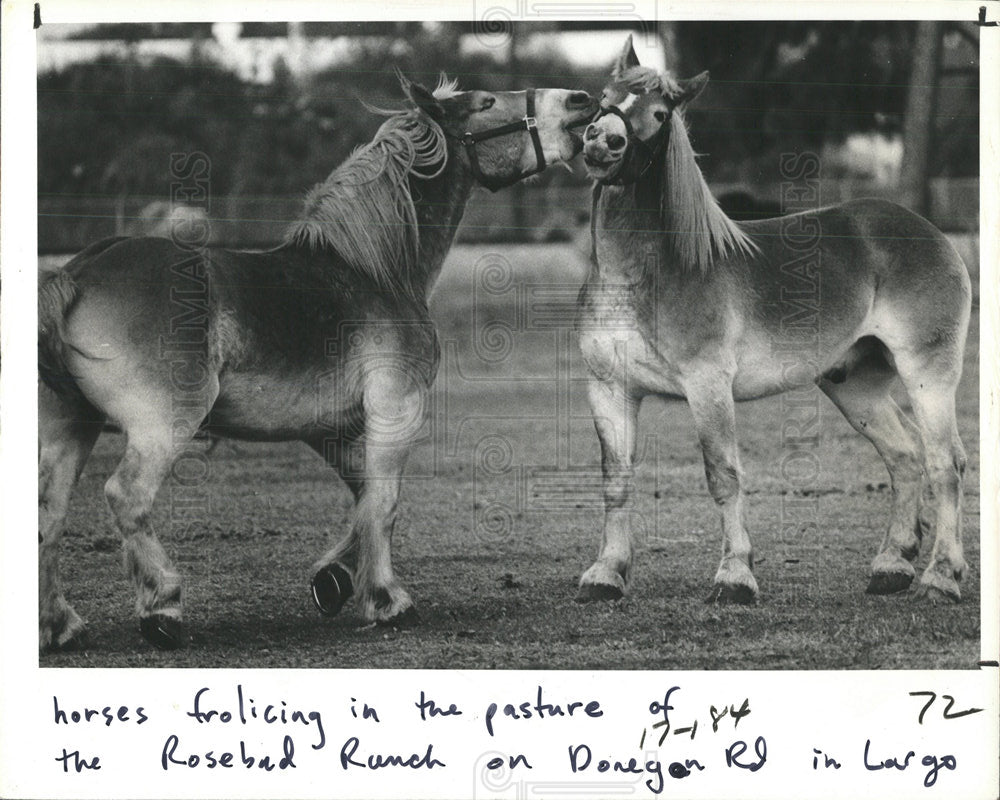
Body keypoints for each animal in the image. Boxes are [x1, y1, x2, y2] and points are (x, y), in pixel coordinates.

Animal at [39, 75, 596, 648]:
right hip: (162, 426)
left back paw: (60, 626)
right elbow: (384, 504)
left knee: (48, 515)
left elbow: (366, 500)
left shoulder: (331, 429)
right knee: (127, 497)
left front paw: (334, 580)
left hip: (70, 426)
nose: (580, 101)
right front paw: (387, 600)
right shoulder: (395, 410)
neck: (373, 272)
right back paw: (161, 608)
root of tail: (77, 274)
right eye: (487, 103)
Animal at [576, 36, 972, 608]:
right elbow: (615, 478)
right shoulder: (610, 389)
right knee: (904, 457)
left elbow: (723, 475)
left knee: (946, 464)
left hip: (929, 376)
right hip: (855, 386)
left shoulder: (708, 386)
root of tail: (931, 233)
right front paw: (606, 573)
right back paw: (891, 566)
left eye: (659, 113)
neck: (644, 275)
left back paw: (942, 576)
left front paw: (735, 575)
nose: (601, 141)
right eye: (604, 96)